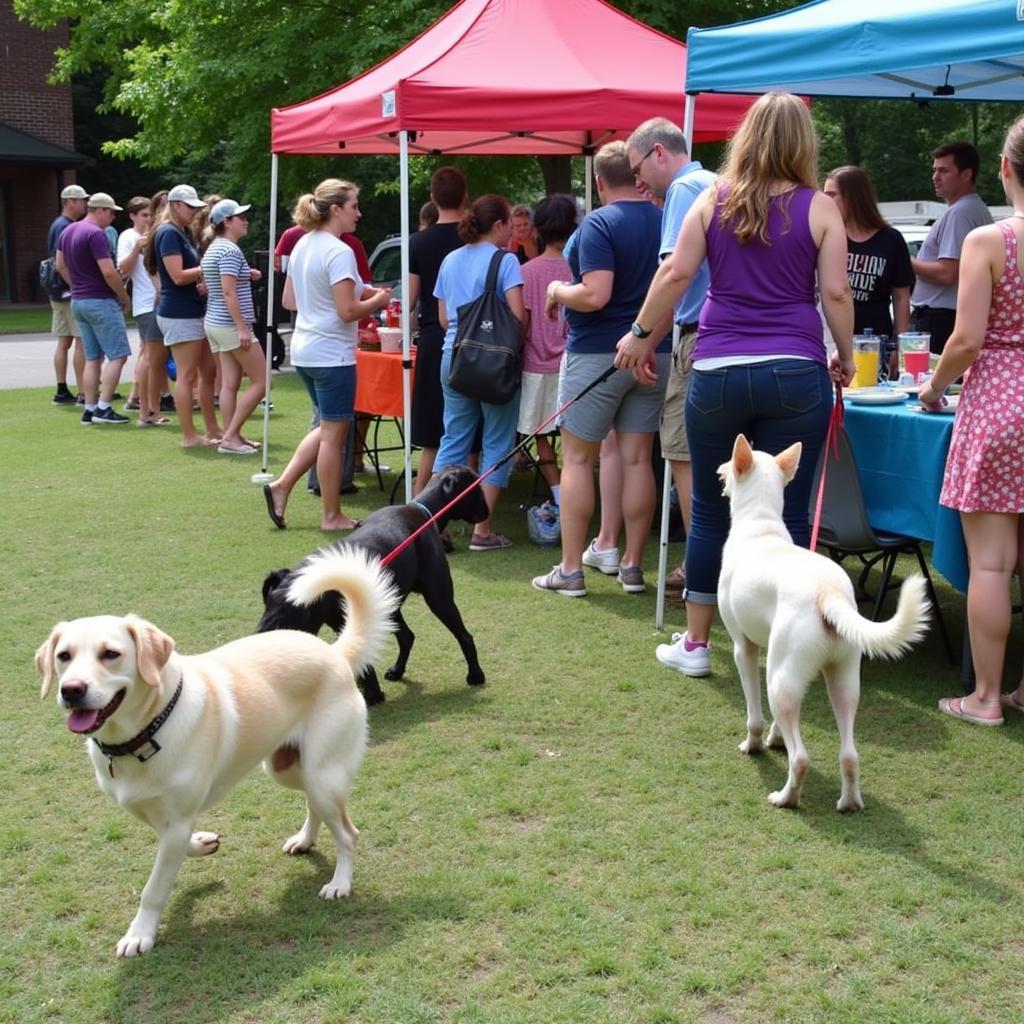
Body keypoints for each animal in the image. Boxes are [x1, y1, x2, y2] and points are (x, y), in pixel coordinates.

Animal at [36, 548, 397, 954]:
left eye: (110, 654)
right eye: (63, 656)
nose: (71, 690)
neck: (147, 730)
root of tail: (335, 653)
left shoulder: (177, 818)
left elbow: (154, 888)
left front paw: (139, 934)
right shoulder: (155, 812)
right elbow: (174, 844)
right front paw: (201, 843)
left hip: (323, 774)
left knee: (348, 833)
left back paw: (340, 883)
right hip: (287, 768)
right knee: (314, 806)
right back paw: (305, 840)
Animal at [260, 466, 491, 700]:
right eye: (478, 489)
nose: (487, 510)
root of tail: (418, 510)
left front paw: (372, 694)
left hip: (438, 598)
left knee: (464, 637)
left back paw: (475, 675)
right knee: (408, 636)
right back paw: (398, 670)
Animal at [716, 436, 933, 811]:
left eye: (727, 468)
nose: (718, 472)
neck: (759, 525)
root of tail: (828, 593)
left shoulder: (744, 649)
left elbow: (755, 714)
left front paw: (754, 745)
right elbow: (779, 724)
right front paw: (776, 738)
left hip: (780, 682)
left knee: (801, 758)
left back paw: (785, 798)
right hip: (841, 681)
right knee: (850, 754)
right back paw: (849, 802)